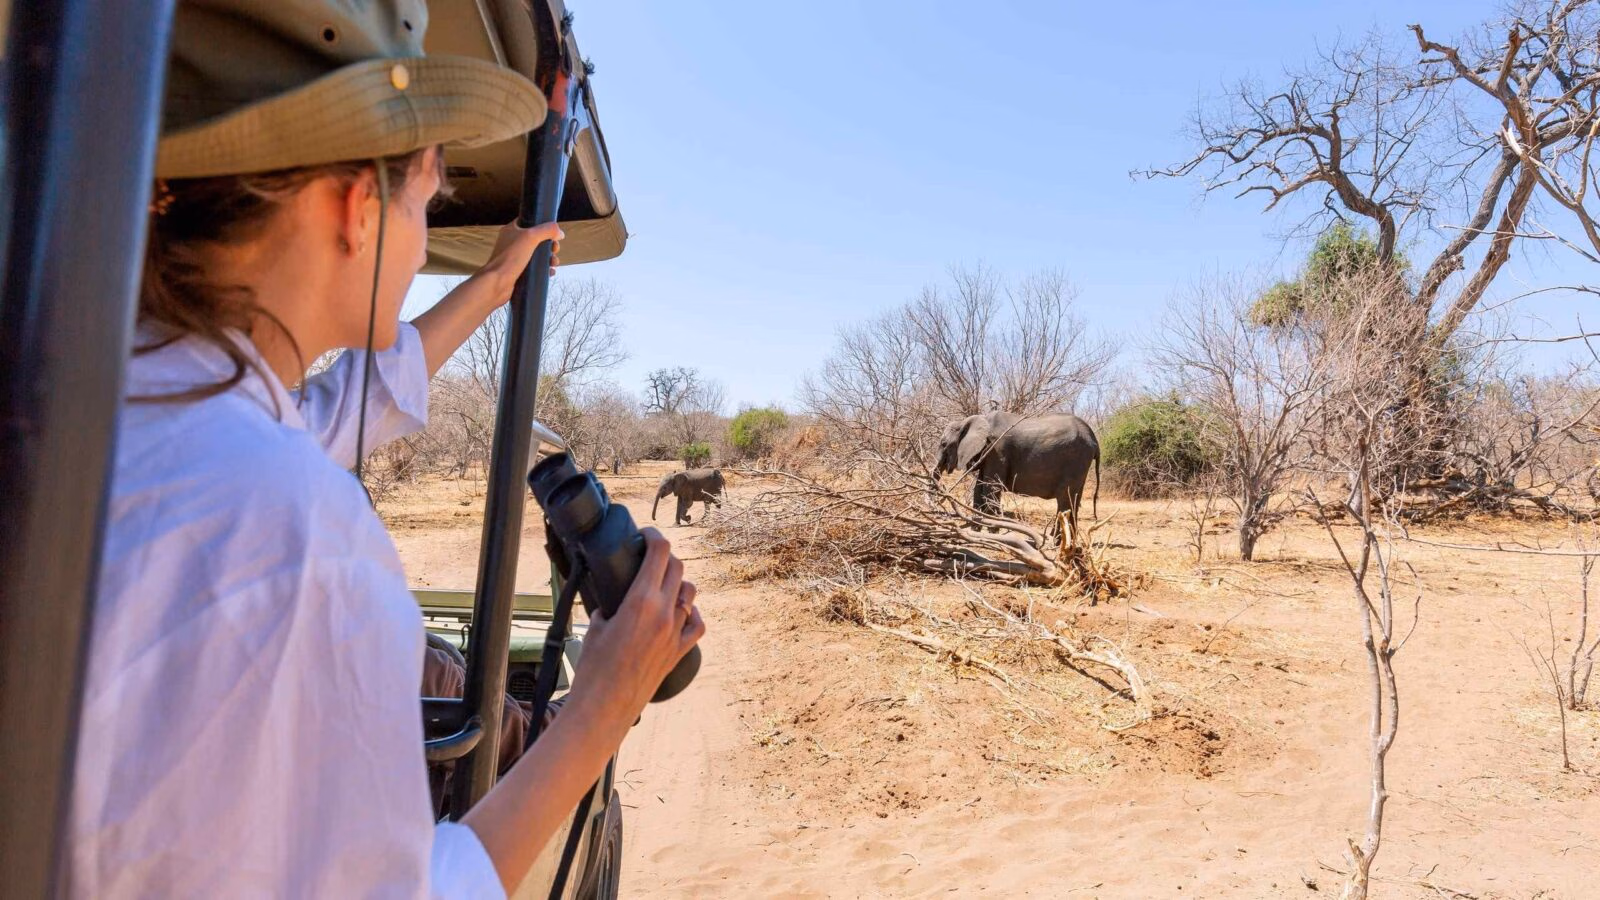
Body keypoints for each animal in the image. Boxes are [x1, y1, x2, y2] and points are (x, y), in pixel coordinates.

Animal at [934, 411, 1100, 537]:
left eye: (943, 444)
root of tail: (1094, 440)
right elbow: (979, 487)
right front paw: (975, 528)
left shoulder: (996, 450)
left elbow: (991, 488)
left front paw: (992, 531)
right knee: (1073, 501)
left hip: (1075, 460)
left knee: (1065, 501)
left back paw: (1056, 540)